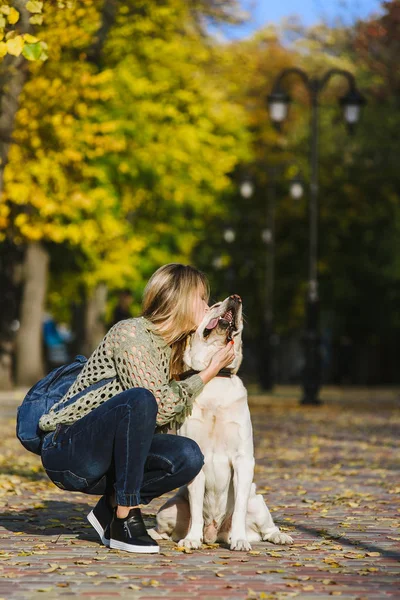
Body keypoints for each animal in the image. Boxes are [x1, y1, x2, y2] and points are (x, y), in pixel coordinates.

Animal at [155, 296, 292, 552]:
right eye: (213, 306)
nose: (236, 298)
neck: (216, 375)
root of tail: (215, 533)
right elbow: (196, 508)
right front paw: (192, 539)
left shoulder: (243, 460)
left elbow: (238, 510)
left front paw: (239, 540)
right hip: (169, 508)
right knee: (168, 529)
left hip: (257, 501)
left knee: (267, 527)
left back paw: (278, 536)